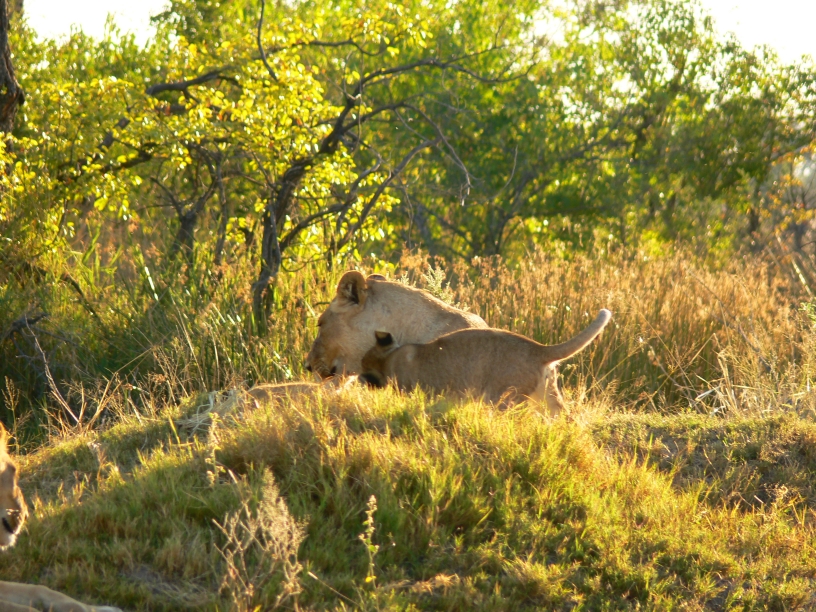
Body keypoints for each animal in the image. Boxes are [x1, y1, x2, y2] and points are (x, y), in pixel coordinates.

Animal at [360, 309, 612, 415]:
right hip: (548, 397)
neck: (390, 358)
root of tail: (538, 348)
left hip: (501, 398)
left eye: (363, 366)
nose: (360, 379)